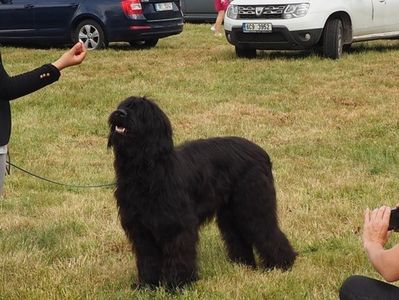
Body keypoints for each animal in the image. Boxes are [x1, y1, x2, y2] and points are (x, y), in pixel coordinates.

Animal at [108, 96, 298, 288]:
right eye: (122, 105)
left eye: (140, 110)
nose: (119, 113)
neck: (147, 171)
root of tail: (262, 153)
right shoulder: (141, 229)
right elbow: (148, 258)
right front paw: (148, 284)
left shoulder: (178, 225)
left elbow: (179, 253)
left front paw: (177, 284)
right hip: (231, 213)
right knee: (238, 235)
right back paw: (243, 265)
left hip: (253, 204)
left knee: (267, 231)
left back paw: (282, 264)